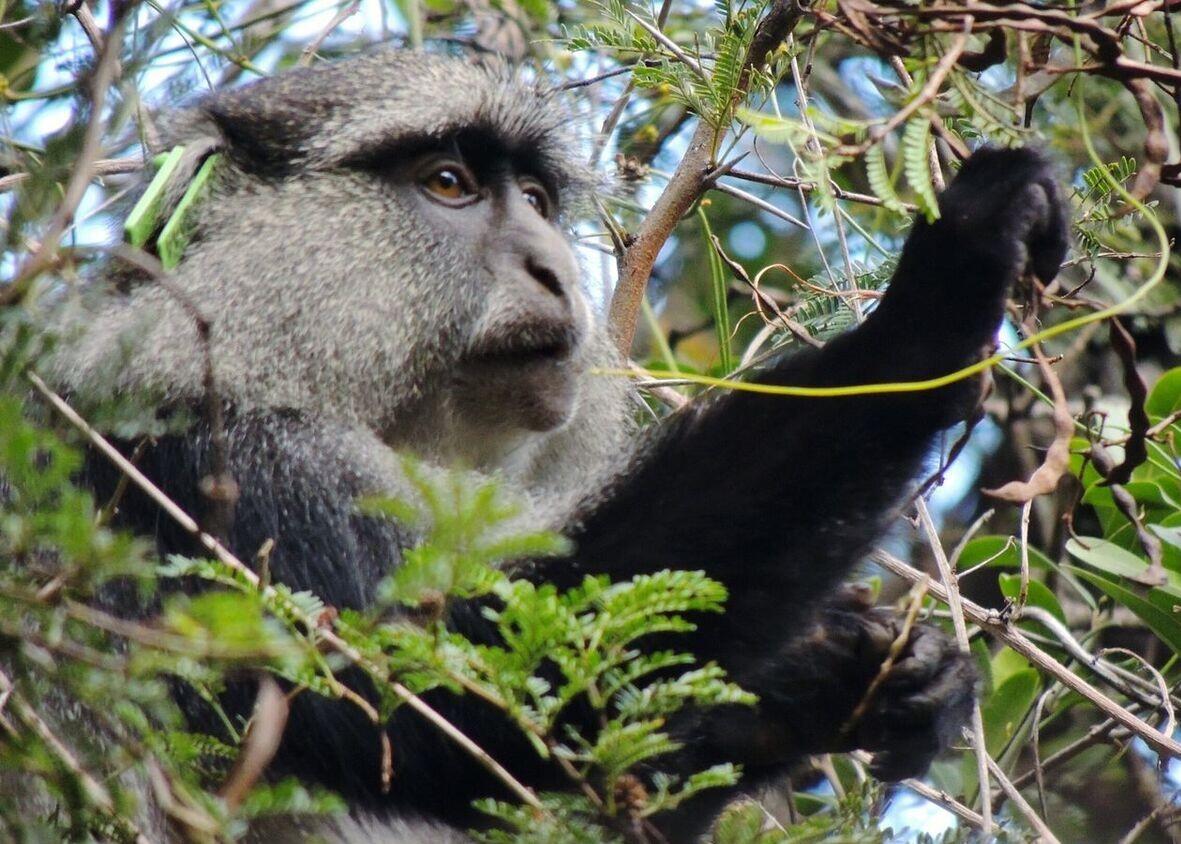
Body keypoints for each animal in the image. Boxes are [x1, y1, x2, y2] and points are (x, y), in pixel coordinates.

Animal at [39, 51, 1072, 844]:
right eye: (448, 184)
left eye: (535, 198)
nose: (551, 267)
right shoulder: (208, 461)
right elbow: (477, 700)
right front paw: (935, 300)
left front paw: (851, 681)